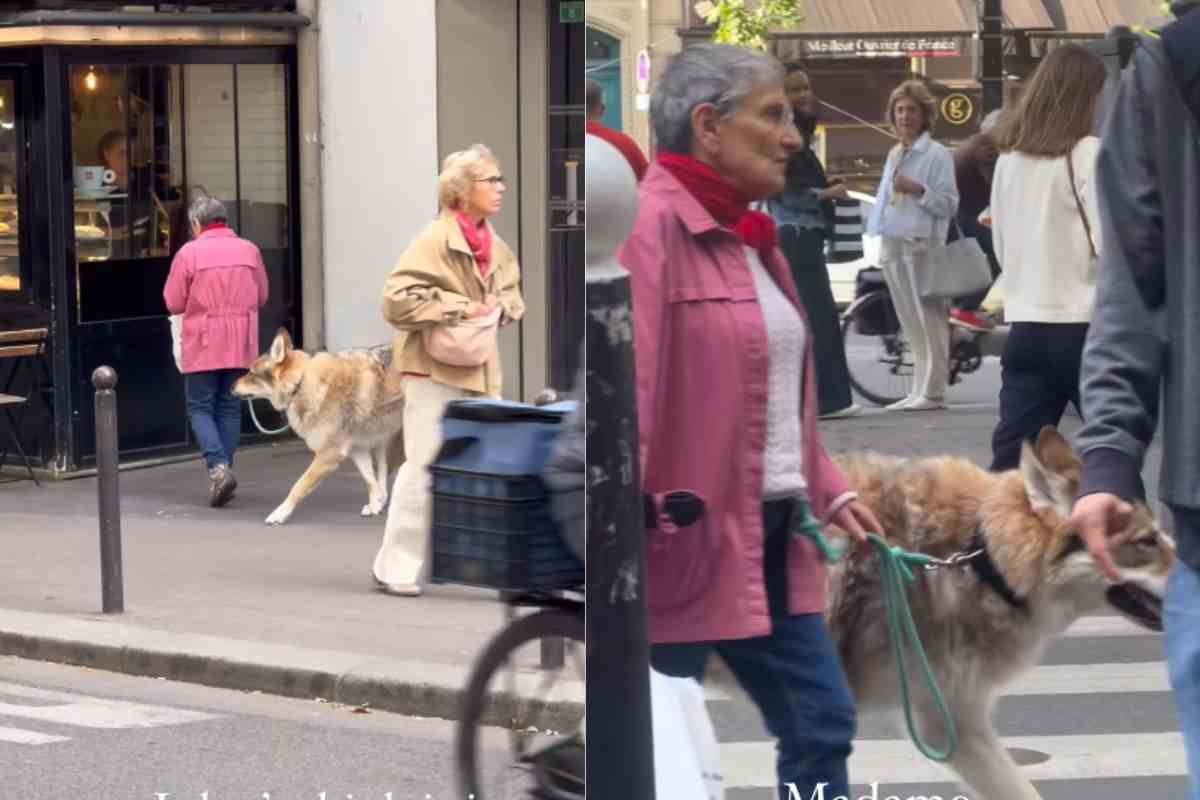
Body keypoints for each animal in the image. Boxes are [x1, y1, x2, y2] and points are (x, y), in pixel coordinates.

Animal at [229, 326, 408, 525]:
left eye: (251, 373)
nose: (230, 386)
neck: (301, 383)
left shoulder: (328, 454)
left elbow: (298, 486)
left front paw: (280, 513)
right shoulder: (357, 449)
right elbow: (370, 481)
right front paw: (374, 505)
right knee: (382, 476)